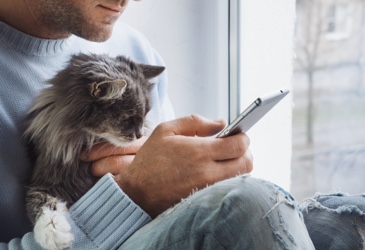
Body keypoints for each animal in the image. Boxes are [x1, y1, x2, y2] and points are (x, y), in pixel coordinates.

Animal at [23, 52, 164, 250]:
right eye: (127, 118)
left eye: (145, 115)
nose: (139, 135)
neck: (87, 140)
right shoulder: (44, 181)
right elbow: (40, 204)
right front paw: (54, 233)